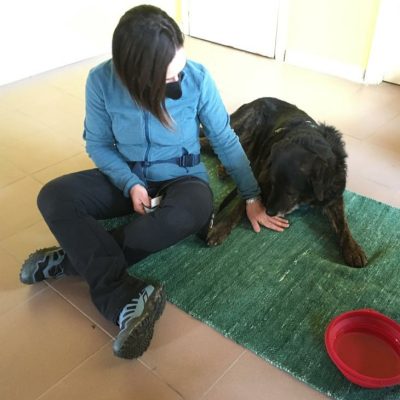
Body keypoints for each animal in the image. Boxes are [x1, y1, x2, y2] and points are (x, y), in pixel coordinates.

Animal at [205, 97, 368, 268]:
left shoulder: (333, 194)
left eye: (290, 192)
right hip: (235, 133)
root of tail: (256, 100)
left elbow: (343, 223)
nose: (268, 212)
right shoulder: (260, 177)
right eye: (273, 184)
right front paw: (221, 228)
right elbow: (241, 205)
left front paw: (353, 249)